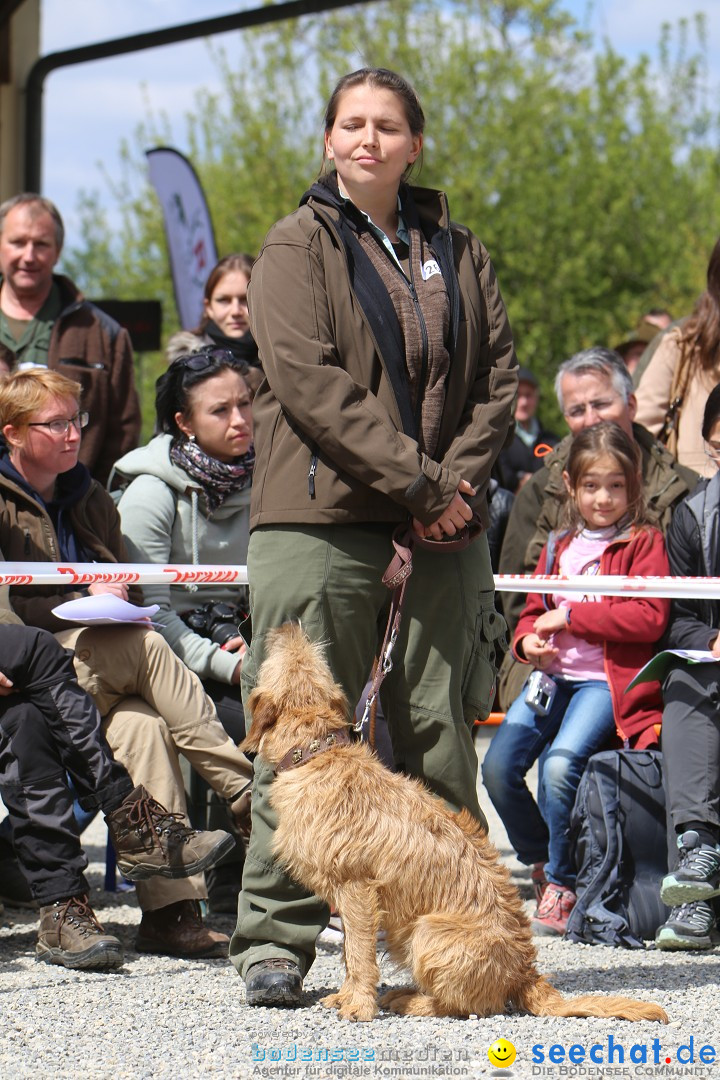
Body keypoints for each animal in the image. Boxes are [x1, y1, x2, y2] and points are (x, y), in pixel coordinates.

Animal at [243, 622, 669, 1023]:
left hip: (427, 932)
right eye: (309, 658)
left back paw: (409, 1000)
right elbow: (350, 951)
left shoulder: (357, 890)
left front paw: (359, 1004)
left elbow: (360, 955)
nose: (286, 626)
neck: (317, 752)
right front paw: (345, 995)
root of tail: (525, 973)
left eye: (287, 656)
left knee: (466, 1006)